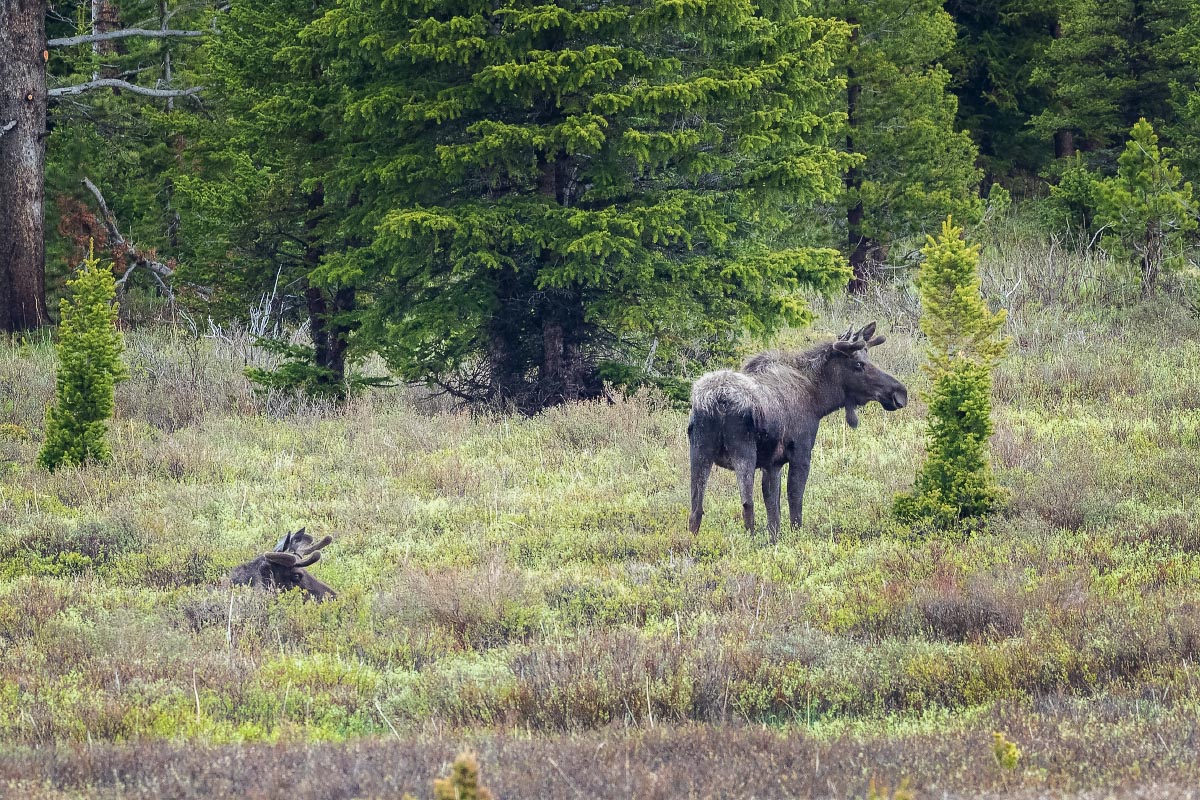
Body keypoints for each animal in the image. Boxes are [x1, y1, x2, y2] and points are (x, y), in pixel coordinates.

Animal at [686, 321, 907, 542]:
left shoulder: (772, 464)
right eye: (859, 364)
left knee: (696, 510)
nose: (900, 392)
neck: (818, 399)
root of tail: (717, 400)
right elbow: (794, 502)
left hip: (699, 452)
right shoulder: (801, 454)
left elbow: (773, 511)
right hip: (743, 452)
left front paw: (774, 542)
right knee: (747, 506)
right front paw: (796, 540)